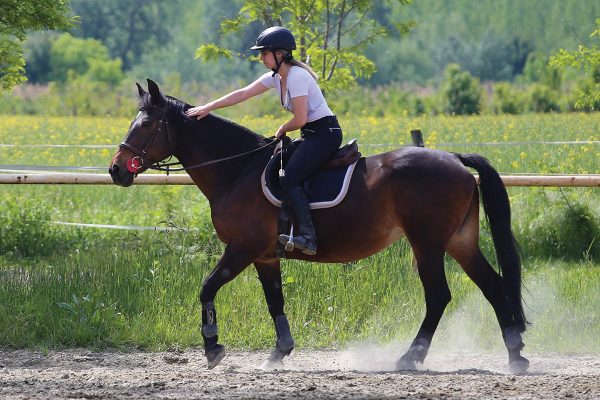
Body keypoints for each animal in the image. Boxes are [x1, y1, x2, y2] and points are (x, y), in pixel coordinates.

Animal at [109, 79, 528, 374]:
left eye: (146, 124)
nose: (116, 171)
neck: (237, 170)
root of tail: (454, 160)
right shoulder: (264, 256)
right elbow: (274, 301)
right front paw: (278, 353)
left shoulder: (242, 248)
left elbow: (207, 286)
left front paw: (213, 347)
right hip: (459, 241)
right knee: (493, 285)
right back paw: (515, 355)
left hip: (427, 244)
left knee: (439, 296)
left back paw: (410, 357)